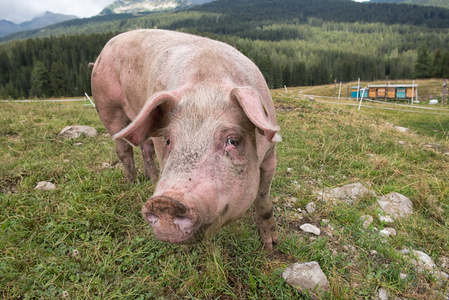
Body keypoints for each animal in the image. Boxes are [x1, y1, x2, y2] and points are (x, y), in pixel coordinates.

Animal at [89, 29, 280, 250]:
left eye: (233, 140)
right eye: (168, 141)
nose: (165, 202)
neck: (206, 82)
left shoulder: (270, 154)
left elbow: (264, 199)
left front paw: (270, 245)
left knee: (145, 147)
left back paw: (151, 179)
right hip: (107, 106)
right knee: (123, 148)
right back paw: (132, 183)